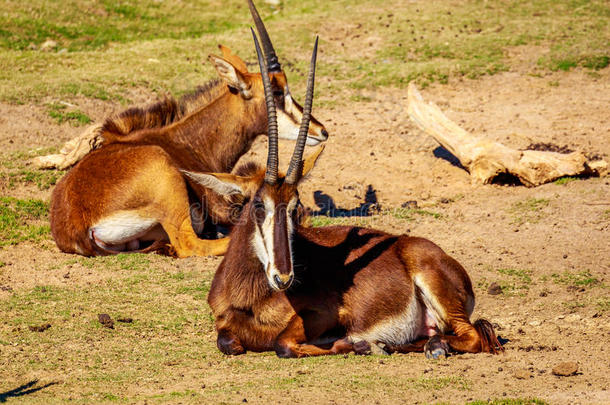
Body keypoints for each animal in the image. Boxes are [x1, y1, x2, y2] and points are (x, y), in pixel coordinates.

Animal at [51, 0, 328, 258]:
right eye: (279, 92)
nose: (321, 131)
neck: (188, 142)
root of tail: (79, 227)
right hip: (169, 185)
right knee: (191, 244)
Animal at [191, 31, 504, 356]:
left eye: (295, 208)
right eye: (258, 205)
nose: (284, 277)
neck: (250, 298)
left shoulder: (324, 314)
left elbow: (283, 343)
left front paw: (354, 343)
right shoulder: (224, 325)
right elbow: (228, 342)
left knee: (473, 336)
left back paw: (416, 346)